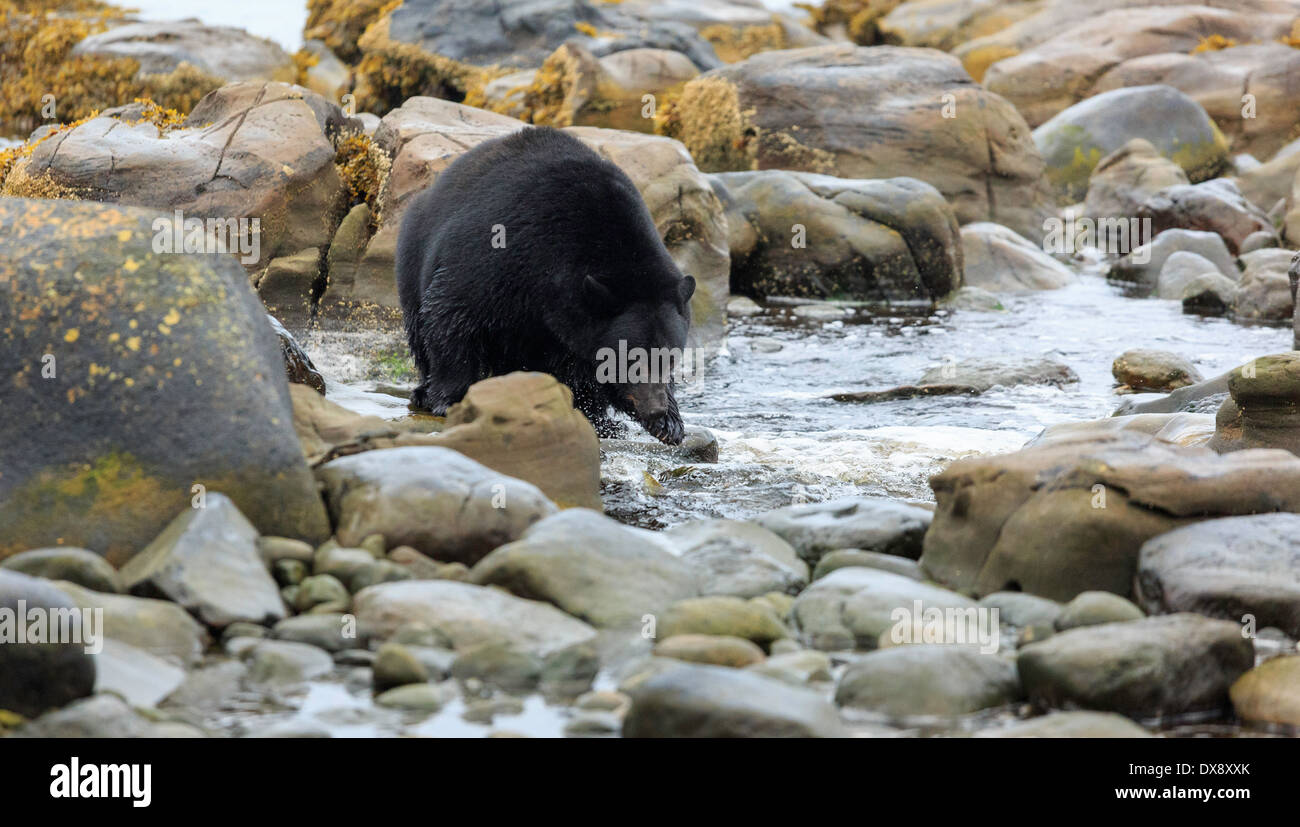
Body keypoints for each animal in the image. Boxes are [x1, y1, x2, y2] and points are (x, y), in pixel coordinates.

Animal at [395, 125, 696, 442]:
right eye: (631, 360)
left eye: (671, 358)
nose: (656, 409)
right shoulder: (499, 252)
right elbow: (453, 314)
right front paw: (449, 397)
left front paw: (669, 424)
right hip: (415, 252)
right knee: (419, 324)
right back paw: (424, 391)